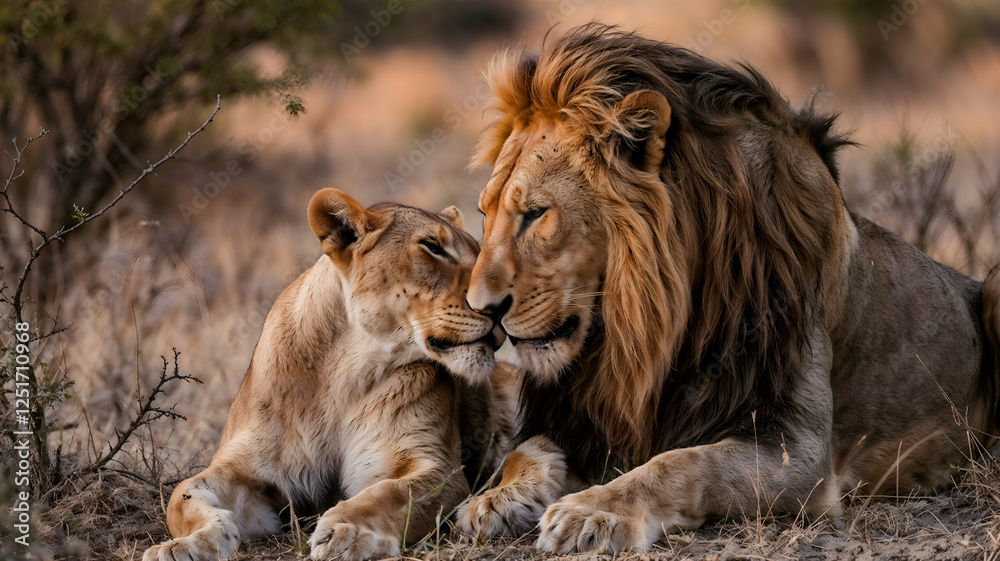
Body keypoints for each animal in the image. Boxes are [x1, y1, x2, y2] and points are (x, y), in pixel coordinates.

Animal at [143, 188, 515, 561]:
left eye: (479, 252)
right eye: (432, 247)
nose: (501, 304)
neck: (345, 374)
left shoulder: (438, 466)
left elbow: (390, 494)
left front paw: (347, 531)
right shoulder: (248, 472)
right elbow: (181, 496)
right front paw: (185, 546)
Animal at [456, 24, 1000, 553]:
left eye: (535, 213)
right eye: (484, 213)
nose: (482, 309)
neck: (639, 333)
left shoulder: (798, 448)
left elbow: (679, 462)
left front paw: (590, 511)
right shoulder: (585, 414)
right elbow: (524, 450)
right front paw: (494, 500)